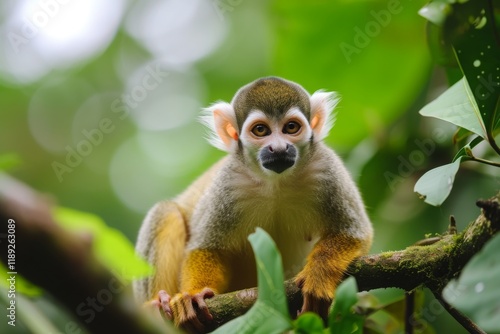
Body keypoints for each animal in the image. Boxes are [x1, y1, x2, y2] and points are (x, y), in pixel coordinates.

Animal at [133, 77, 372, 332]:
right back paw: (158, 303)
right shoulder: (228, 182)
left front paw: (318, 276)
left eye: (291, 127)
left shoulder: (327, 168)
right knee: (166, 212)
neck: (275, 183)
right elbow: (208, 247)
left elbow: (354, 233)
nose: (278, 148)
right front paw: (193, 295)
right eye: (260, 130)